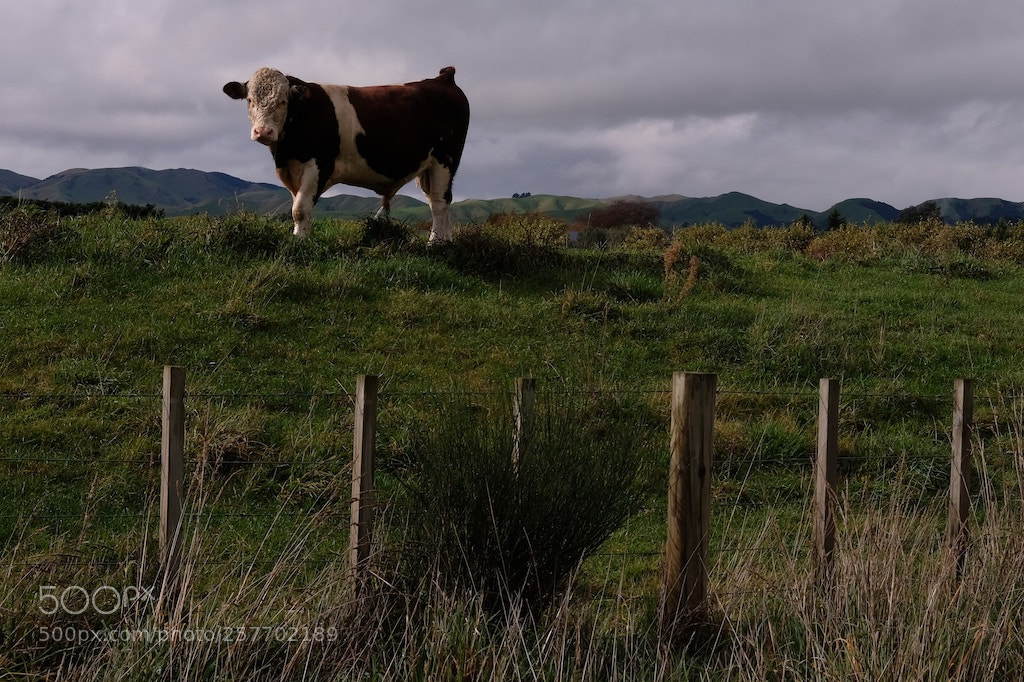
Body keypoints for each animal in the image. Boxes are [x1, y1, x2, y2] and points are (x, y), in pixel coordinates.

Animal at [223, 66, 470, 243]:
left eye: (283, 101)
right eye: (250, 100)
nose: (263, 131)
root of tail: (442, 78)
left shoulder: (318, 166)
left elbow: (300, 209)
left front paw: (300, 242)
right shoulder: (293, 171)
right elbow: (297, 207)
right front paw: (297, 237)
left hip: (446, 160)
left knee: (439, 202)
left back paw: (434, 244)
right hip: (429, 167)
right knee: (439, 199)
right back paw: (445, 242)